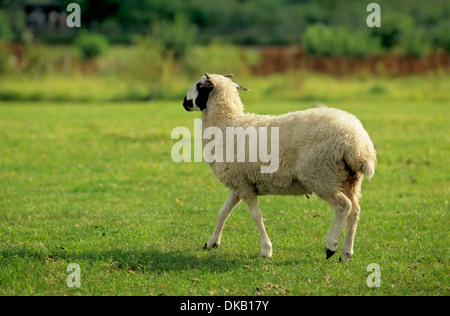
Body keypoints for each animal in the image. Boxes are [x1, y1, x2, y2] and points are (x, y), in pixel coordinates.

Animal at [182, 73, 376, 260]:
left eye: (199, 86)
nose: (184, 102)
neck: (226, 124)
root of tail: (358, 144)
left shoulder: (244, 187)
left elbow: (256, 216)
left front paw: (266, 250)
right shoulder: (239, 184)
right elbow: (223, 212)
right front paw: (211, 243)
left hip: (321, 176)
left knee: (344, 206)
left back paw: (331, 246)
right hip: (348, 179)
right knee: (355, 210)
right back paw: (346, 253)